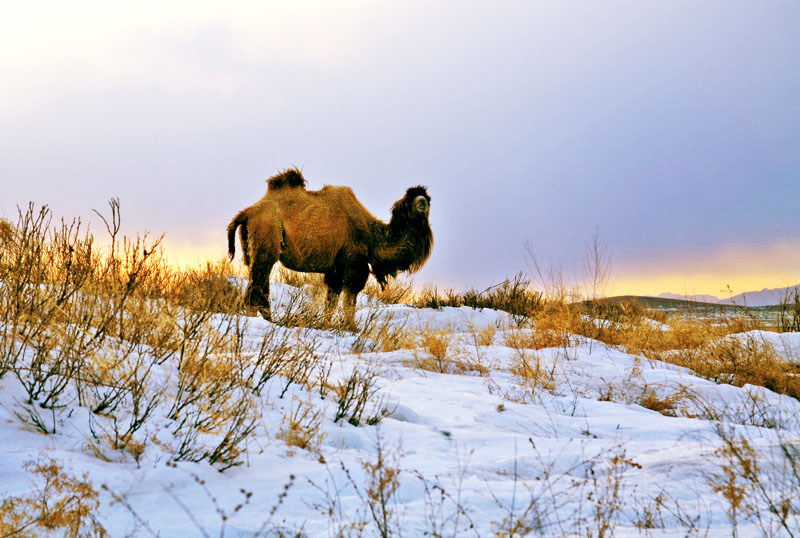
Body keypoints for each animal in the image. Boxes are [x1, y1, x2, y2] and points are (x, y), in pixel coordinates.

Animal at [228, 170, 434, 324]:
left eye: (427, 198)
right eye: (410, 201)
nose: (422, 202)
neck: (372, 236)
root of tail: (248, 212)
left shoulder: (335, 269)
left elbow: (331, 302)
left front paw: (326, 325)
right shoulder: (353, 262)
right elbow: (349, 299)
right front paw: (351, 328)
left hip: (254, 246)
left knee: (260, 285)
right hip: (267, 234)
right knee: (256, 287)